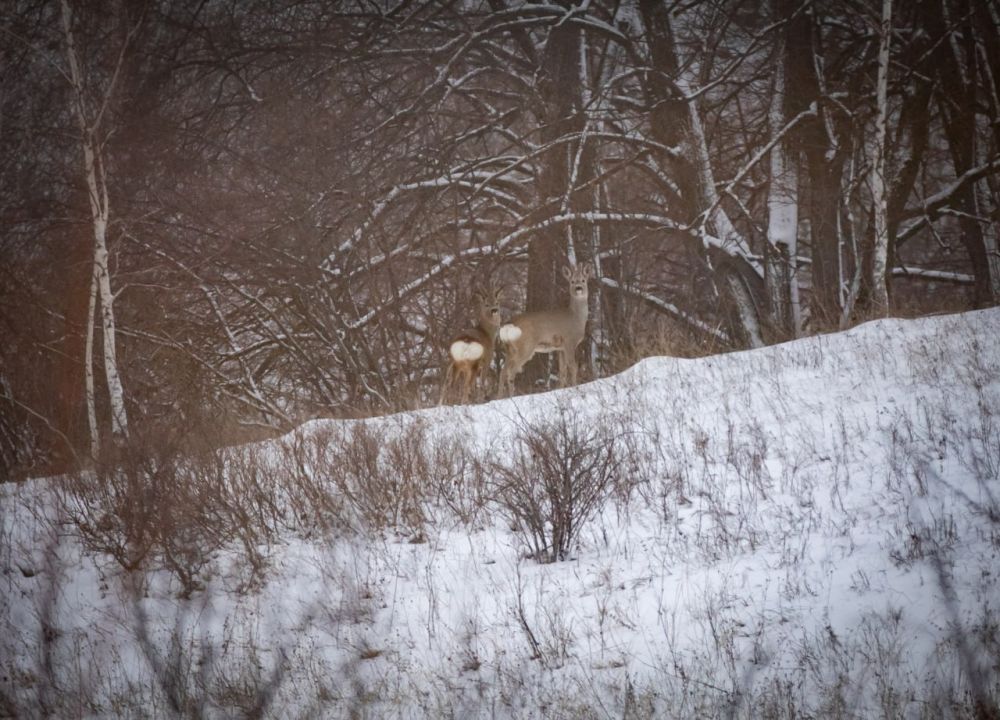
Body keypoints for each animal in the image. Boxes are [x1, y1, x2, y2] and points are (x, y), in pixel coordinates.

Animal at [496, 262, 588, 396]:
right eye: (572, 281)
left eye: (583, 280)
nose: (579, 288)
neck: (576, 317)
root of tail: (509, 325)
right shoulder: (569, 342)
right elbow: (573, 367)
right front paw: (575, 388)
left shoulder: (560, 348)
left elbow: (562, 371)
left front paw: (561, 390)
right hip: (526, 347)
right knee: (511, 371)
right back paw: (511, 395)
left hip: (510, 350)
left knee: (503, 372)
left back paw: (499, 396)